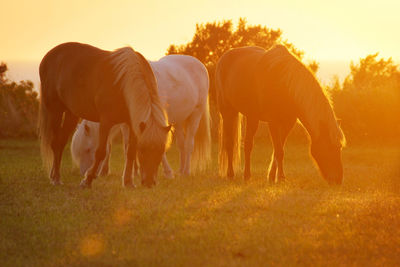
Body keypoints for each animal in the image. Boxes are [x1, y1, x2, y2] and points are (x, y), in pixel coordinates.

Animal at [36, 42, 170, 188]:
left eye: (161, 150)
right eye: (143, 149)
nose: (149, 182)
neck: (123, 83)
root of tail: (48, 57)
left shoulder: (133, 124)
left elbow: (130, 152)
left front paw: (128, 182)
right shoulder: (106, 122)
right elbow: (100, 152)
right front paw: (87, 180)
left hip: (71, 114)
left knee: (60, 143)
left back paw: (55, 176)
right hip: (55, 111)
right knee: (55, 143)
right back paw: (56, 178)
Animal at [70, 55, 211, 183]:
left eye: (88, 149)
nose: (84, 173)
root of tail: (200, 64)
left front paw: (167, 172)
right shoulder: (128, 124)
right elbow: (128, 146)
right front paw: (134, 172)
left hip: (196, 114)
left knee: (189, 144)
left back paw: (186, 172)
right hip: (180, 120)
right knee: (182, 144)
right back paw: (181, 170)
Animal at [217, 45, 346, 185]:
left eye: (339, 147)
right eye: (329, 147)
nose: (338, 179)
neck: (285, 85)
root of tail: (224, 57)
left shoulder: (287, 123)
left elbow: (278, 150)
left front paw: (273, 177)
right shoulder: (273, 122)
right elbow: (279, 151)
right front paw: (281, 178)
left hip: (252, 116)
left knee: (247, 144)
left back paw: (246, 175)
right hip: (227, 111)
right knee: (230, 143)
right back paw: (232, 174)